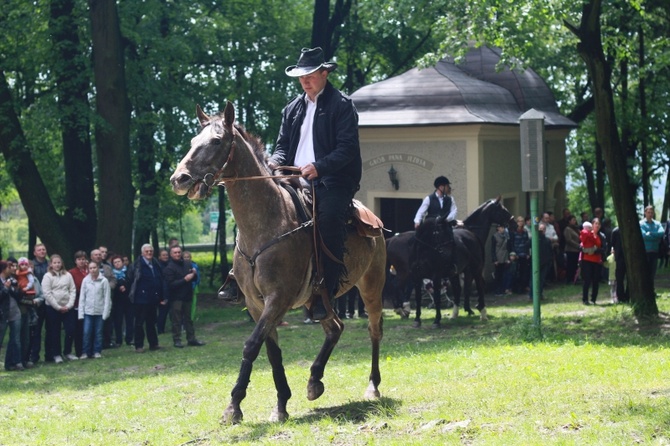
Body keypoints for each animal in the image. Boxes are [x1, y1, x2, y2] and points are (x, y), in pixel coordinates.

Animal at [171, 102, 386, 426]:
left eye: (217, 141)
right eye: (193, 141)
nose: (179, 179)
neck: (266, 223)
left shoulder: (278, 299)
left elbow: (251, 345)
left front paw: (233, 406)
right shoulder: (257, 304)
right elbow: (271, 352)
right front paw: (281, 403)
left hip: (371, 287)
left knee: (374, 330)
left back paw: (372, 386)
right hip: (317, 300)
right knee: (334, 327)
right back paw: (314, 380)